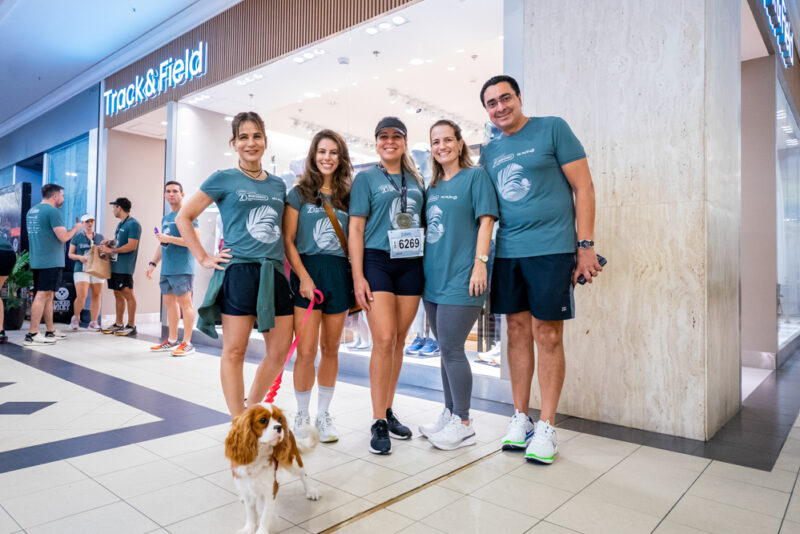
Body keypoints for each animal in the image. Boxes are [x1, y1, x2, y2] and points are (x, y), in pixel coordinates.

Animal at [225, 406, 318, 534]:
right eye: (263, 420)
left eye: (279, 419)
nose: (279, 427)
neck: (258, 456)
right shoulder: (246, 487)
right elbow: (251, 512)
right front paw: (248, 529)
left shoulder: (270, 490)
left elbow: (265, 515)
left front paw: (261, 531)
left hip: (293, 462)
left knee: (303, 475)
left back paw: (311, 491)